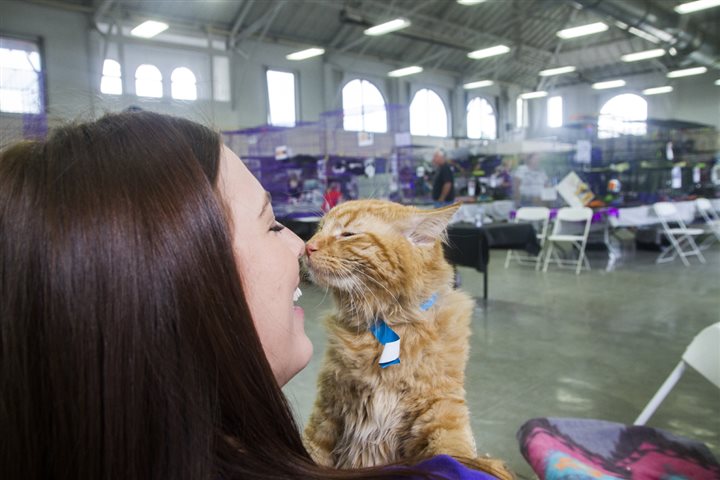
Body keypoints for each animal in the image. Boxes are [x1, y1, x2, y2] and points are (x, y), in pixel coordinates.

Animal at [304, 200, 506, 476]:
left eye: (348, 234)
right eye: (320, 229)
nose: (307, 246)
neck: (386, 324)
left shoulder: (441, 409)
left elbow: (453, 452)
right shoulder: (326, 413)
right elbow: (313, 451)